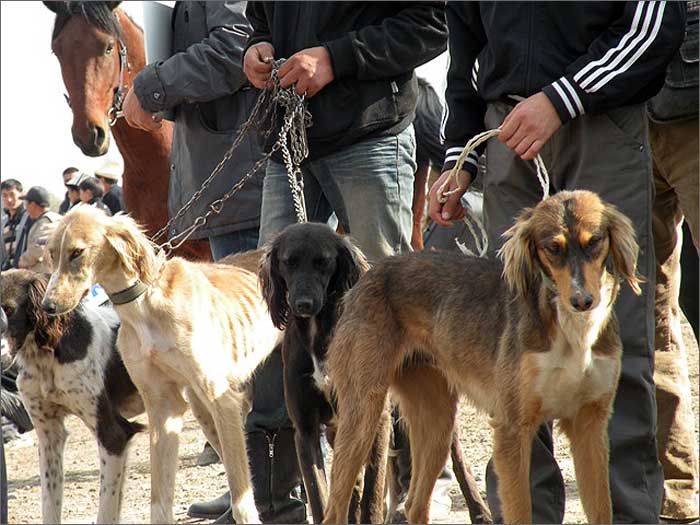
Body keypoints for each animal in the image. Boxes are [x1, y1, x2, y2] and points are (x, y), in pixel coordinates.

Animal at [1, 269, 144, 524]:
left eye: (8, 310)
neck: (46, 357)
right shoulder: (49, 435)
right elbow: (50, 504)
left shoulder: (113, 434)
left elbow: (106, 511)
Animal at [40, 206, 281, 524]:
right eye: (52, 253)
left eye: (77, 252)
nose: (48, 307)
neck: (144, 304)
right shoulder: (162, 405)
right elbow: (160, 500)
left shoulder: (223, 399)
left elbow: (242, 497)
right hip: (203, 411)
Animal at [323, 190, 641, 524]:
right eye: (552, 248)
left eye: (595, 241)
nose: (582, 301)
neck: (570, 330)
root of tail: (371, 272)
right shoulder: (513, 428)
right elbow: (520, 512)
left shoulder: (589, 425)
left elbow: (602, 510)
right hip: (362, 416)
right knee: (334, 510)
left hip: (437, 424)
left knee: (415, 505)